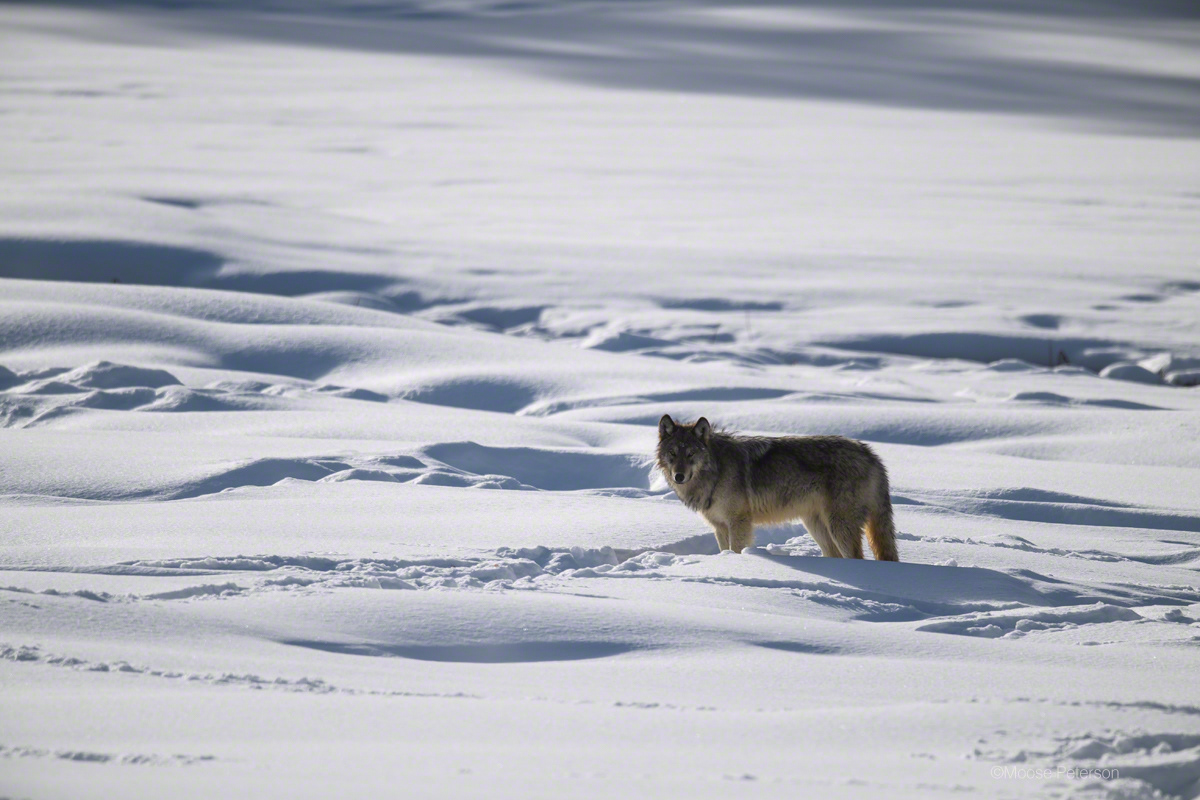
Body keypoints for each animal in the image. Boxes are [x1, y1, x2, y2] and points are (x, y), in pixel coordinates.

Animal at [657, 417, 902, 561]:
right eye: (673, 454)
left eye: (691, 454)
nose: (679, 476)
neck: (717, 470)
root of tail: (871, 454)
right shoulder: (719, 526)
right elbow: (724, 549)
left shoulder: (739, 521)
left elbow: (736, 550)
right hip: (816, 526)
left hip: (838, 526)